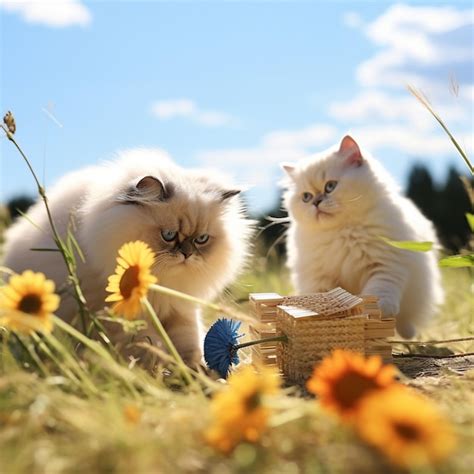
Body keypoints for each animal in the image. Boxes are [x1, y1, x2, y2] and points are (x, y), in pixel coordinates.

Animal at [1, 150, 254, 364]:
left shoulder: (180, 309)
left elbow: (190, 344)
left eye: (201, 239)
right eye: (168, 235)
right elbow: (151, 345)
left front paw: (198, 374)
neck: (160, 282)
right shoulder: (118, 314)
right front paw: (169, 371)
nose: (187, 254)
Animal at [282, 135, 444, 338]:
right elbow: (321, 296)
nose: (316, 202)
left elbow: (378, 293)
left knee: (405, 321)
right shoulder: (318, 277)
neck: (342, 231)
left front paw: (379, 311)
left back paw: (408, 333)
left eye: (330, 186)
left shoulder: (385, 264)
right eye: (306, 197)